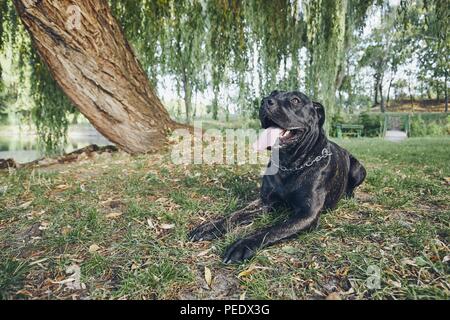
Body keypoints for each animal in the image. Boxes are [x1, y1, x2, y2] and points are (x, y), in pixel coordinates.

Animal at [188, 90, 368, 262]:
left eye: (295, 100)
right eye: (273, 93)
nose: (265, 101)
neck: (290, 164)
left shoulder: (306, 214)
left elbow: (272, 229)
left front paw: (243, 244)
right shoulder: (265, 201)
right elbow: (234, 215)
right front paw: (210, 227)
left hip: (358, 169)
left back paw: (349, 195)